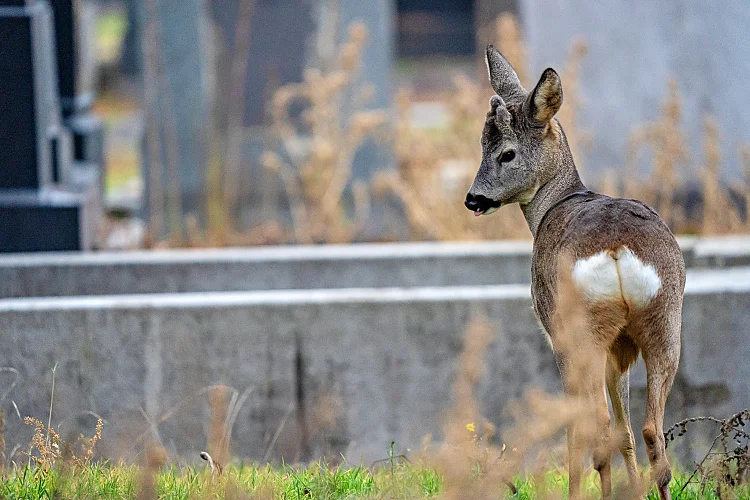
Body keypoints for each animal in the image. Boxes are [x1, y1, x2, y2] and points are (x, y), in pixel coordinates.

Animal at [465, 46, 684, 500]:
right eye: (480, 144)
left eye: (507, 153)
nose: (472, 198)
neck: (555, 203)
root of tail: (618, 249)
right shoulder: (621, 349)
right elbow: (625, 429)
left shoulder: (556, 332)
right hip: (664, 320)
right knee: (649, 430)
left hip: (583, 326)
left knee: (595, 423)